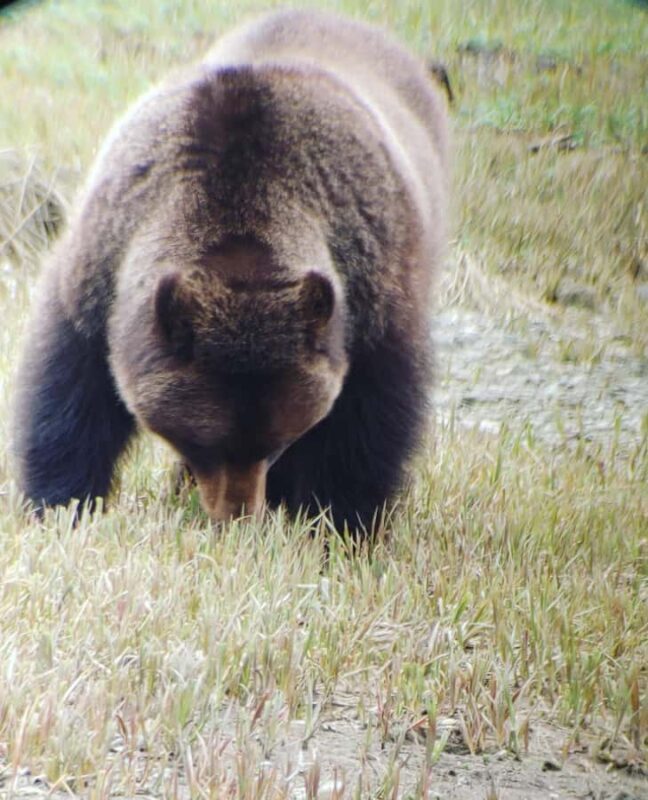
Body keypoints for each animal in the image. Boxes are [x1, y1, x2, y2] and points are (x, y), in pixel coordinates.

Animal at [12, 9, 449, 532]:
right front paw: (61, 503)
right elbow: (69, 389)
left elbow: (368, 424)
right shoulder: (103, 263)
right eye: (201, 440)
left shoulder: (371, 289)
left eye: (279, 440)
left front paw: (340, 520)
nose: (236, 514)